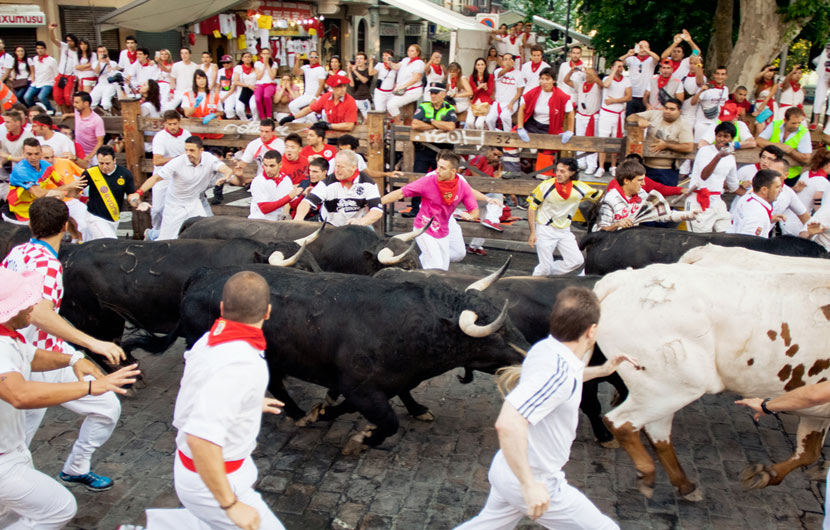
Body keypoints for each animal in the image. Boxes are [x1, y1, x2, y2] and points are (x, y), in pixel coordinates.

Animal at [128, 266, 532, 448]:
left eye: (512, 323)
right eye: (497, 334)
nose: (527, 354)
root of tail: (200, 276)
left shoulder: (382, 384)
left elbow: (386, 400)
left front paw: (323, 411)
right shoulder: (361, 388)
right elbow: (387, 422)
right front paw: (363, 439)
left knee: (276, 384)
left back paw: (297, 413)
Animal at [596, 252, 830, 500]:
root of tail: (624, 279)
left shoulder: (817, 405)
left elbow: (809, 452)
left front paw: (765, 474)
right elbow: (810, 453)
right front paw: (766, 474)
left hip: (665, 386)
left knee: (656, 431)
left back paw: (685, 485)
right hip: (673, 387)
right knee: (622, 423)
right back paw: (647, 472)